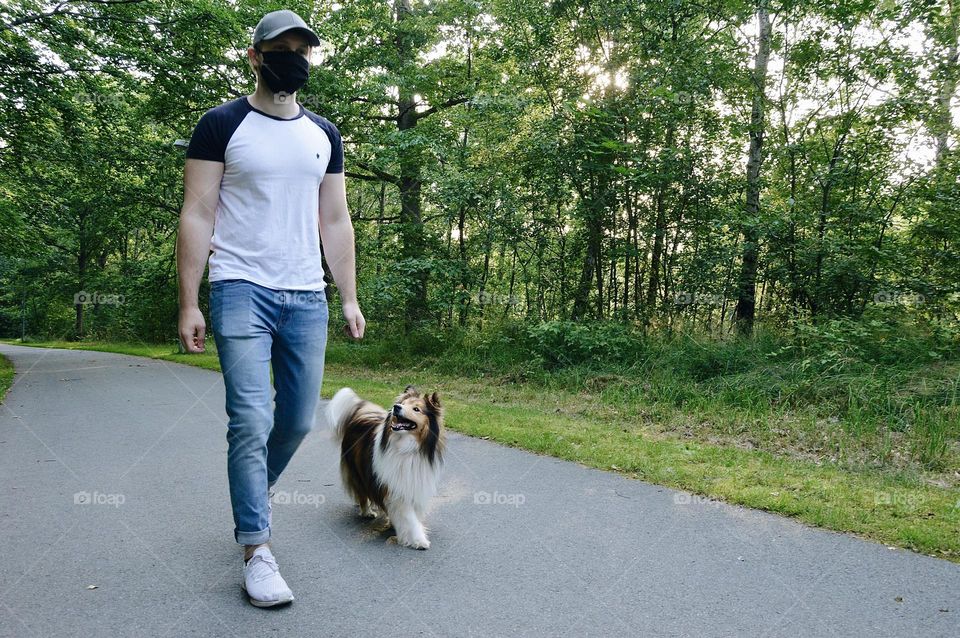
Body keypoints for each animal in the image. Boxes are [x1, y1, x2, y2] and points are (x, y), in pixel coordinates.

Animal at [328, 384, 444, 552]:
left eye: (416, 409)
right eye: (403, 404)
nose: (396, 407)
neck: (406, 447)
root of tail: (360, 412)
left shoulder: (413, 484)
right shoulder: (395, 488)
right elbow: (409, 516)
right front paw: (418, 540)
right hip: (358, 471)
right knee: (362, 493)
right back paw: (367, 511)